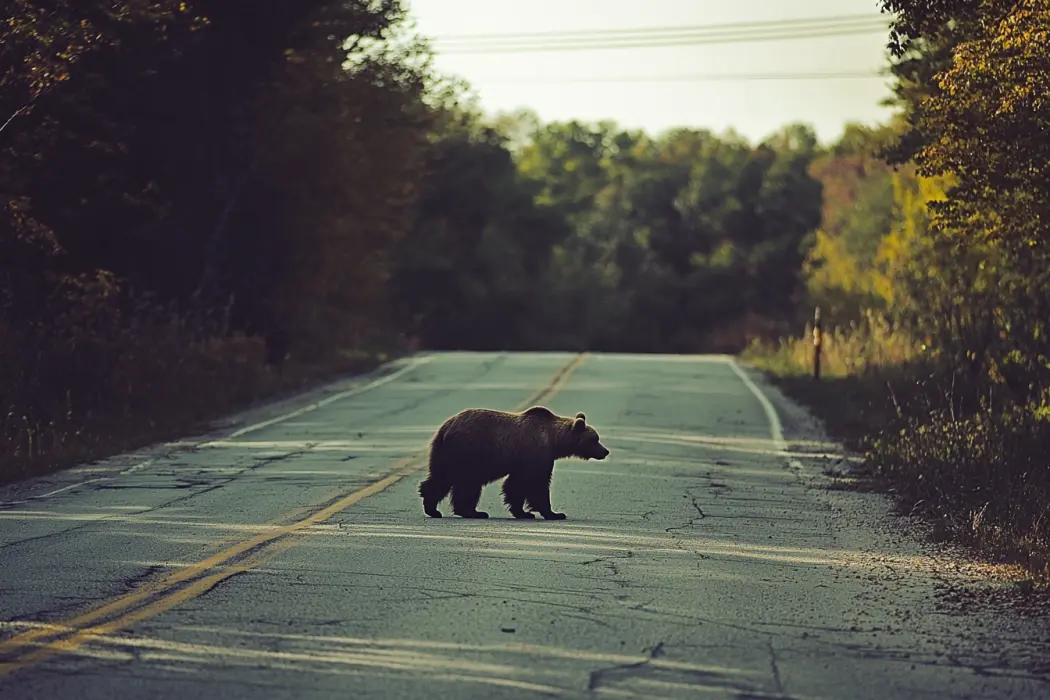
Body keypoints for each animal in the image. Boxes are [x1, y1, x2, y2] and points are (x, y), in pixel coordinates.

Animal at [418, 405, 610, 520]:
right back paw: (471, 512)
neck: (554, 441)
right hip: (468, 452)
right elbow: (532, 484)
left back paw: (438, 508)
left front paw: (524, 512)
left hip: (444, 453)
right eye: (595, 439)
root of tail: (446, 427)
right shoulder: (534, 454)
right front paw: (552, 513)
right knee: (466, 483)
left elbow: (517, 485)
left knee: (441, 478)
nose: (605, 451)